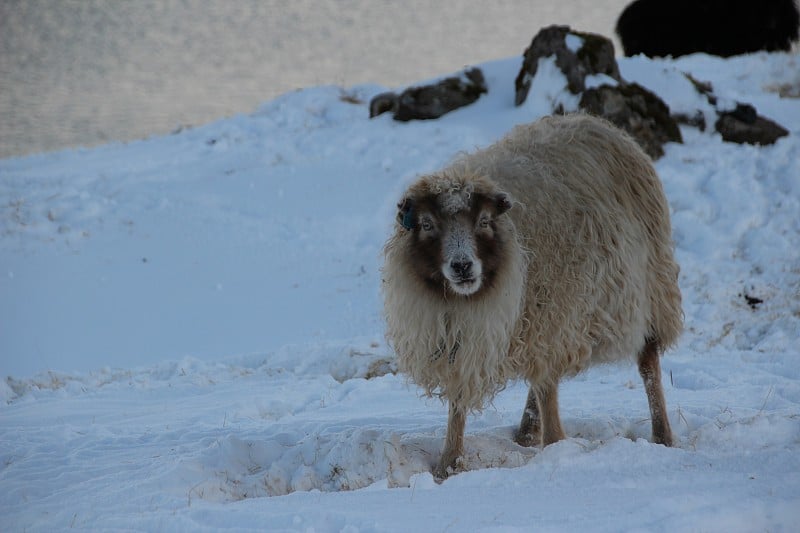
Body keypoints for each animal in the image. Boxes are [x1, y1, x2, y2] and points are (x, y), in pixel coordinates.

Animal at [382, 112, 680, 478]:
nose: (462, 266)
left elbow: (547, 387)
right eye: (426, 225)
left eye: (483, 221)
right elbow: (459, 401)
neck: (465, 300)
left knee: (648, 365)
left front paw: (554, 444)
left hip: (650, 288)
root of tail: (592, 121)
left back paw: (662, 435)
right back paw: (526, 432)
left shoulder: (548, 309)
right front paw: (448, 463)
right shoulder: (463, 338)